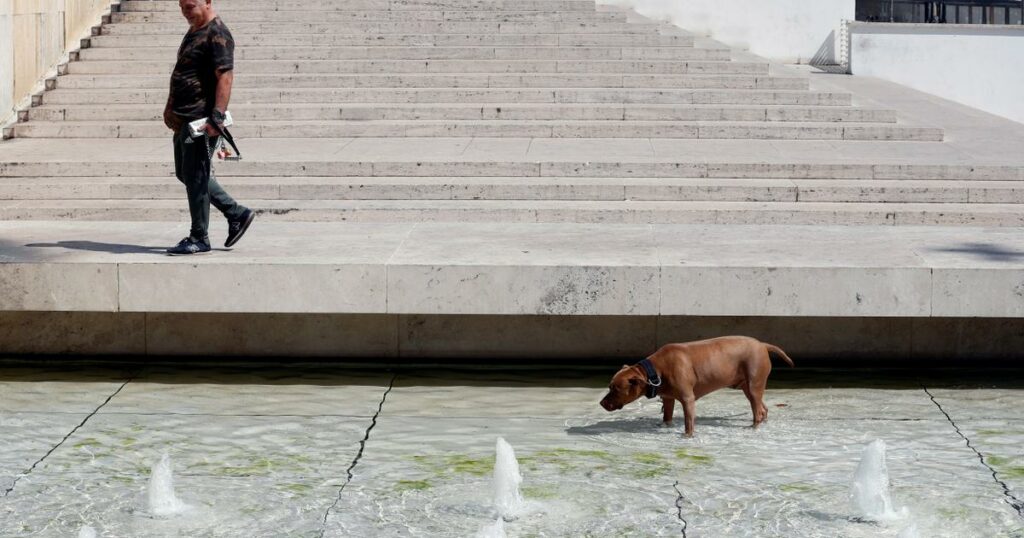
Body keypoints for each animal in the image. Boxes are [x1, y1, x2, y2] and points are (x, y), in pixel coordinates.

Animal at [598, 336, 790, 436]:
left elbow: (689, 423)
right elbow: (666, 417)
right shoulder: (668, 399)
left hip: (753, 385)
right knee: (763, 408)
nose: (601, 403)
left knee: (757, 411)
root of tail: (762, 344)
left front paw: (687, 437)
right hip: (747, 388)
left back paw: (753, 427)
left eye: (615, 389)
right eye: (609, 387)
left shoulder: (687, 399)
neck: (655, 371)